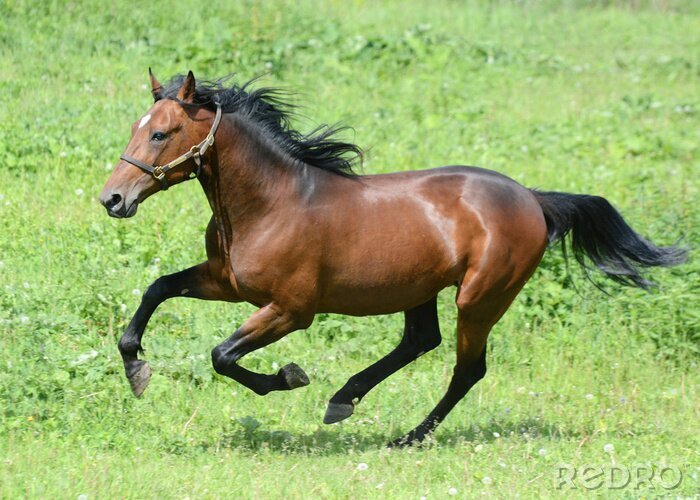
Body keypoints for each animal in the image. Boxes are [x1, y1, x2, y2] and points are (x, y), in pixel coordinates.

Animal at [99, 70, 687, 446]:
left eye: (162, 132)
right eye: (135, 127)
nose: (113, 199)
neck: (273, 203)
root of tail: (534, 200)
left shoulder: (291, 310)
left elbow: (223, 355)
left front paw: (290, 377)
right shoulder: (227, 282)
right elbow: (157, 289)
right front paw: (136, 369)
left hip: (479, 298)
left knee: (467, 368)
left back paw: (406, 436)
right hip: (420, 289)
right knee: (420, 341)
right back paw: (345, 399)